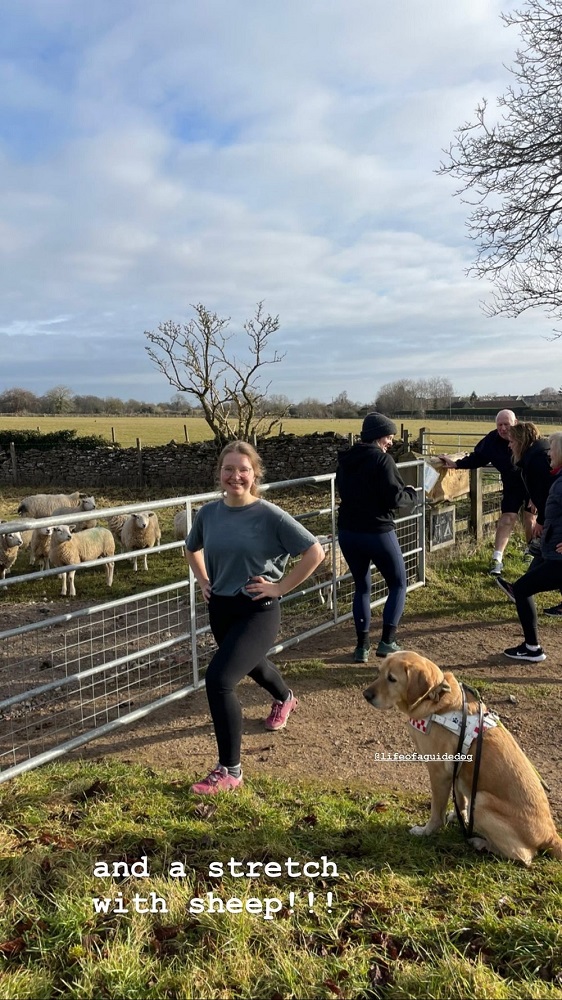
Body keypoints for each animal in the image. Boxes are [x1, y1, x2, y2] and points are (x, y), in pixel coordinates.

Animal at [364, 652, 560, 864]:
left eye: (392, 679)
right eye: (378, 672)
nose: (366, 695)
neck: (437, 699)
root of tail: (551, 834)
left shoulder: (440, 773)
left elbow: (436, 811)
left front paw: (426, 831)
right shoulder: (458, 772)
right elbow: (460, 799)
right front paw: (459, 817)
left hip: (481, 801)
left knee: (523, 856)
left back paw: (479, 842)